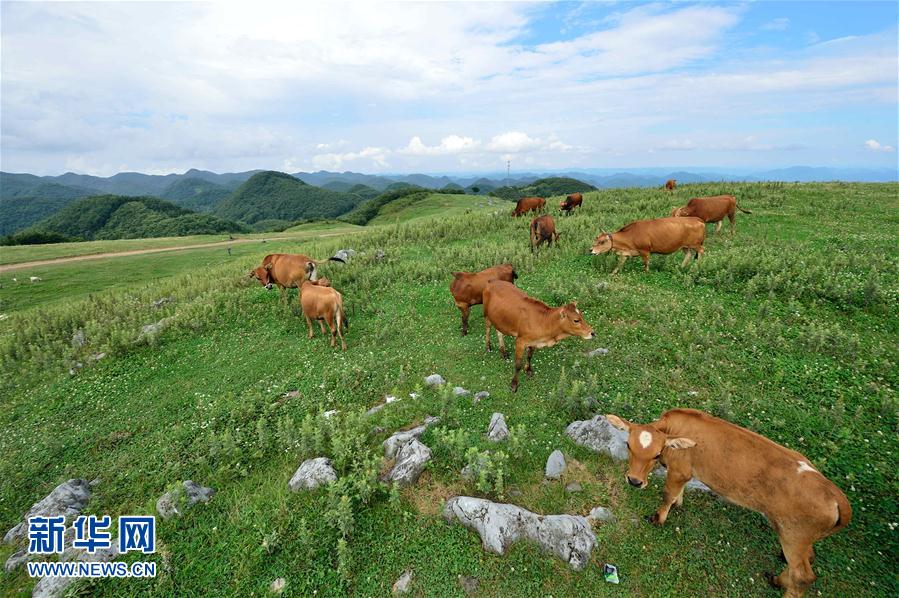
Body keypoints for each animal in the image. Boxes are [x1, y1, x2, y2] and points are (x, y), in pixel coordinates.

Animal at [608, 408, 856, 598]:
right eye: (628, 445)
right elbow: (677, 493)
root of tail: (834, 493)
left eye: (657, 453)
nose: (634, 481)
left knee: (803, 576)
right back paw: (777, 577)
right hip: (798, 537)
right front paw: (679, 503)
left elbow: (668, 494)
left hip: (794, 535)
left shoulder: (679, 470)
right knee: (807, 560)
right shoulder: (685, 474)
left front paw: (658, 518)